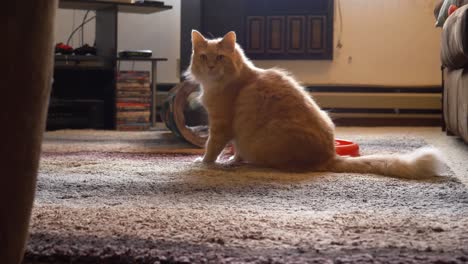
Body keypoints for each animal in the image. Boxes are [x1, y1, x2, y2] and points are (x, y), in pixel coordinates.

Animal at [186, 30, 442, 179]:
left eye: (220, 57)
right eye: (203, 57)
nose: (210, 66)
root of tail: (329, 155)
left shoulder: (221, 125)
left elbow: (211, 148)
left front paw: (204, 163)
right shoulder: (234, 133)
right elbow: (234, 151)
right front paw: (229, 161)